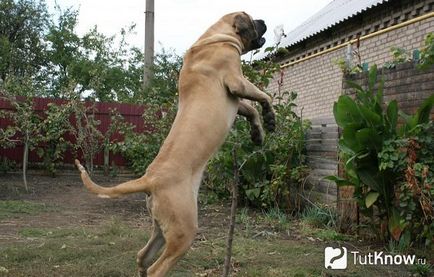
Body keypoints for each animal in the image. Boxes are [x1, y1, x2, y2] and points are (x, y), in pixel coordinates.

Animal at [74, 11, 274, 274]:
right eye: (251, 19)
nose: (264, 21)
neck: (214, 38)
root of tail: (149, 179)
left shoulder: (236, 98)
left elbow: (251, 109)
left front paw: (259, 132)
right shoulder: (236, 81)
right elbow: (262, 96)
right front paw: (270, 117)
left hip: (162, 228)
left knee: (142, 257)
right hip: (184, 231)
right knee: (156, 268)